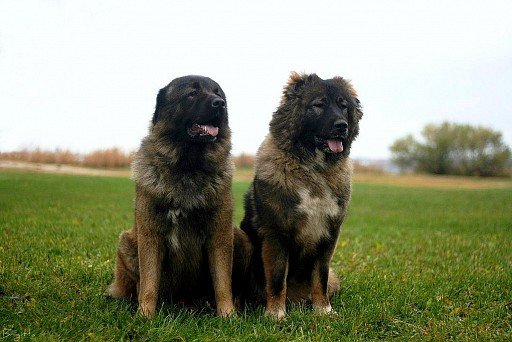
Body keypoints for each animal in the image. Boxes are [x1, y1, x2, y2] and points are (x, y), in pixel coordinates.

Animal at [108, 75, 252, 318]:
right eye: (192, 93)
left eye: (218, 93)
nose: (220, 104)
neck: (188, 167)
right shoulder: (150, 234)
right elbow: (149, 283)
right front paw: (145, 315)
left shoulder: (220, 234)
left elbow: (223, 282)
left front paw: (228, 315)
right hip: (126, 242)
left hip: (240, 239)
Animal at [241, 71, 364, 318]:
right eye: (318, 105)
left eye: (343, 106)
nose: (342, 125)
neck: (313, 169)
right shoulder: (277, 233)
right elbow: (277, 279)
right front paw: (276, 314)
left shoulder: (329, 235)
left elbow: (320, 277)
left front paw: (323, 310)